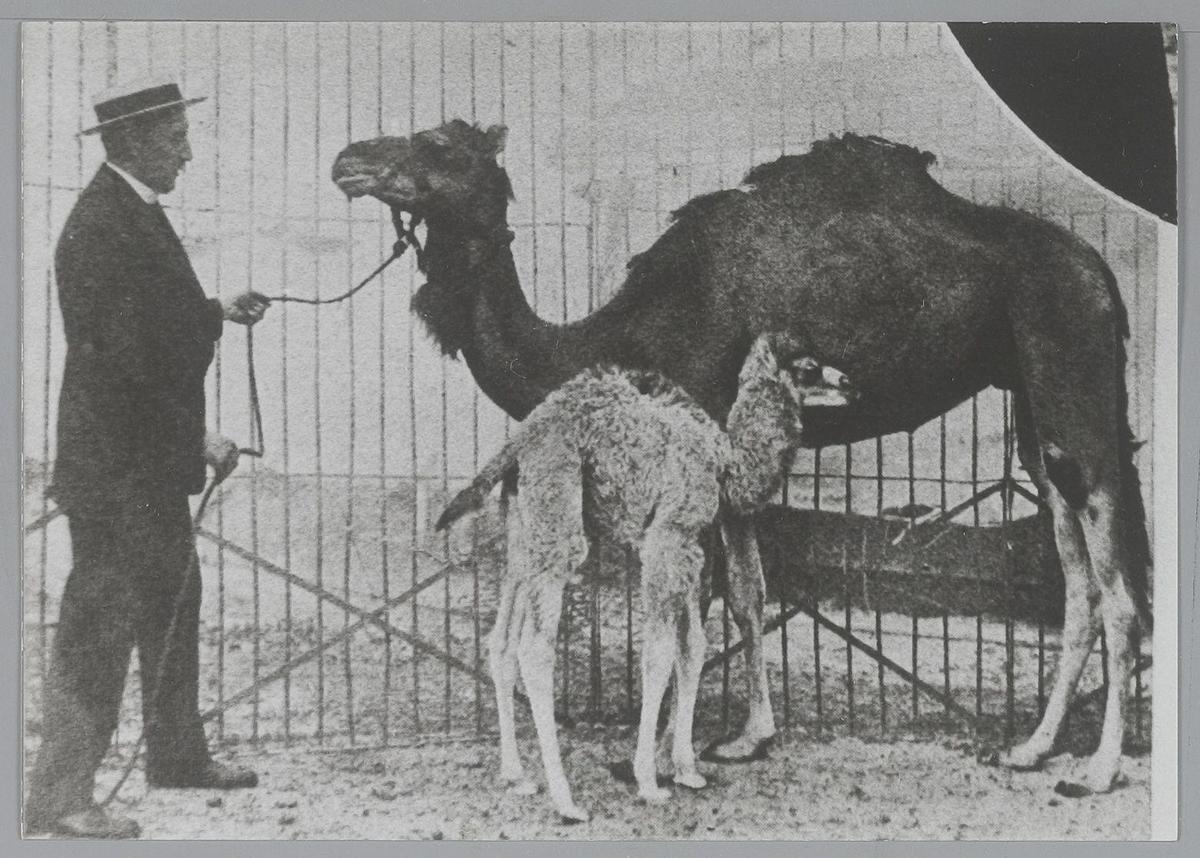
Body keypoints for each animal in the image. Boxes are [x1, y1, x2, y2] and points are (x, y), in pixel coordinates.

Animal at [436, 333, 855, 820]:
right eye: (808, 367)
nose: (848, 382)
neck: (725, 462)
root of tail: (520, 440)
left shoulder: (691, 543)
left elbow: (692, 648)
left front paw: (687, 770)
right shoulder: (668, 536)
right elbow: (658, 653)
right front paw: (649, 780)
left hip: (523, 531)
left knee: (501, 640)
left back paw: (516, 776)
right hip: (559, 516)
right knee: (534, 649)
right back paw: (566, 800)